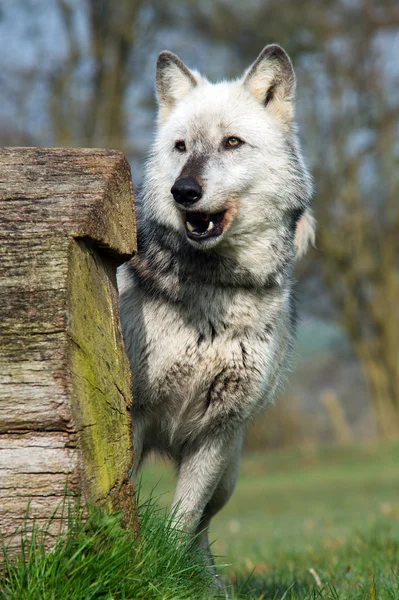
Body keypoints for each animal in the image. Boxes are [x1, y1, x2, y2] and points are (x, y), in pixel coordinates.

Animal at [119, 44, 316, 580]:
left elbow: (181, 525)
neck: (219, 292)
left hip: (228, 473)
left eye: (232, 142)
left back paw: (211, 585)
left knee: (202, 532)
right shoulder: (134, 418)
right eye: (181, 146)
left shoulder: (217, 432)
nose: (183, 191)